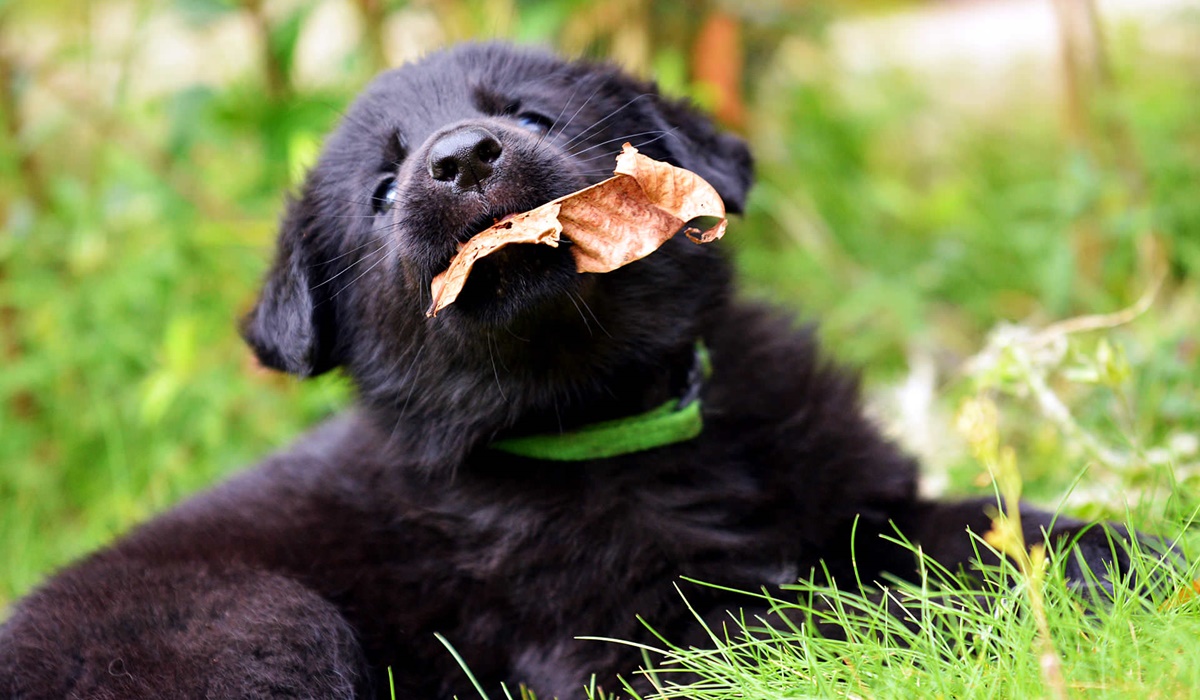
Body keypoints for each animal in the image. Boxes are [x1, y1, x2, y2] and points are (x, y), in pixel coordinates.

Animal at [0, 43, 1137, 700]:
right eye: (383, 189)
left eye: (533, 115)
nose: (461, 158)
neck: (619, 422)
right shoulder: (632, 640)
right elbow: (840, 616)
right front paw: (950, 630)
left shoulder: (858, 492)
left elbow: (975, 528)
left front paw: (1115, 557)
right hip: (258, 622)